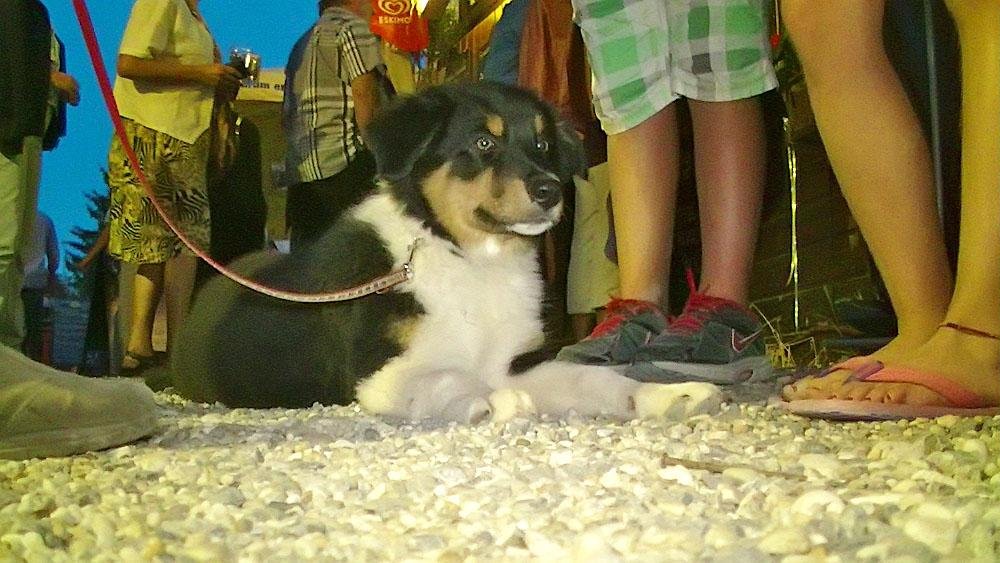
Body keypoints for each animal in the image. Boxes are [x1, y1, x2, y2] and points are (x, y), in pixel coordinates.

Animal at [171, 82, 721, 423]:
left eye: (543, 145)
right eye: (482, 143)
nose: (549, 191)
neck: (469, 260)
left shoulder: (514, 358)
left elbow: (593, 378)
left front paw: (668, 395)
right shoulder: (379, 374)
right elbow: (447, 375)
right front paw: (495, 402)